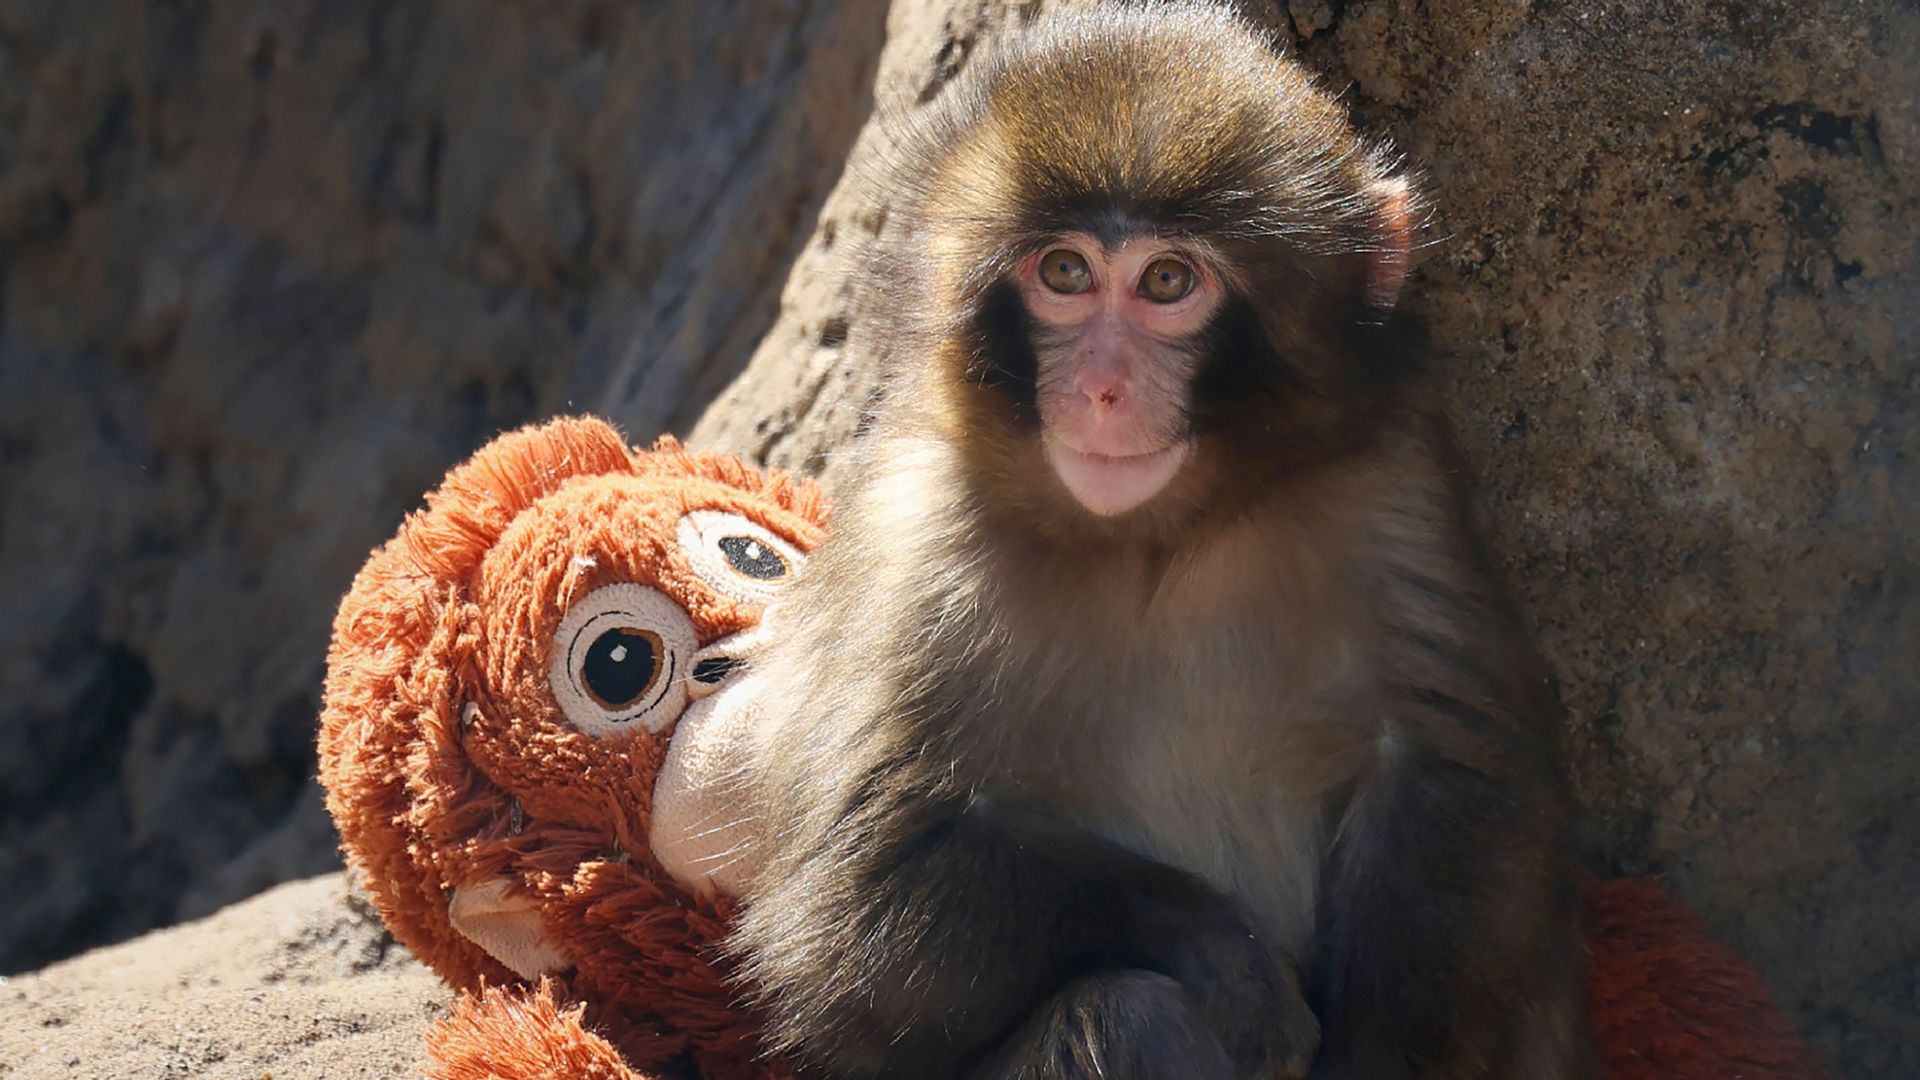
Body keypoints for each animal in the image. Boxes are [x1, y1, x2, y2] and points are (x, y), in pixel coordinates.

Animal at [726, 4, 1591, 1078]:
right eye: (1064, 273)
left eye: (1168, 281)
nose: (1102, 388)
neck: (1159, 540)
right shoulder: (916, 539)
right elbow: (858, 902)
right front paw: (1227, 958)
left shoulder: (1394, 483)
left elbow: (1455, 783)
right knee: (1128, 1015)